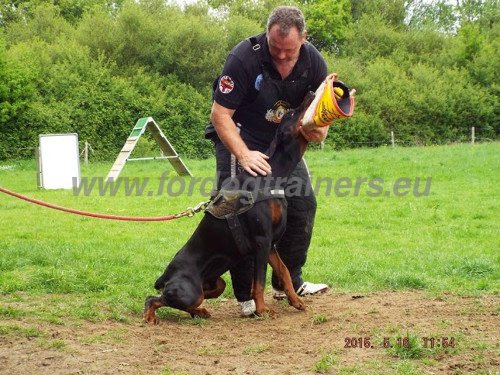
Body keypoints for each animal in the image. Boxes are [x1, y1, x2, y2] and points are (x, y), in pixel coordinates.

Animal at [145, 92, 314, 324]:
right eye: (291, 113)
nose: (311, 93)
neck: (271, 175)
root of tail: (165, 277)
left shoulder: (271, 245)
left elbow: (285, 272)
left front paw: (296, 302)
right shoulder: (262, 241)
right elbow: (258, 282)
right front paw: (262, 310)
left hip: (215, 285)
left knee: (186, 302)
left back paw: (201, 313)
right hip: (190, 291)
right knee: (154, 299)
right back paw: (150, 316)